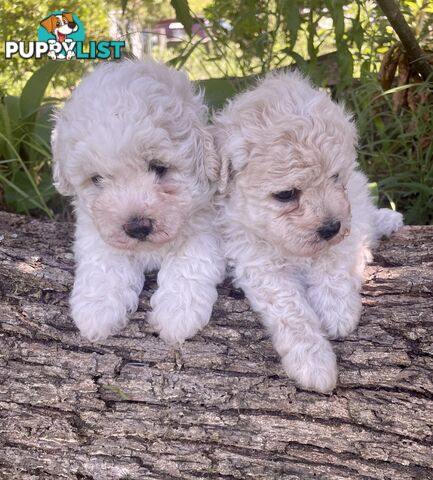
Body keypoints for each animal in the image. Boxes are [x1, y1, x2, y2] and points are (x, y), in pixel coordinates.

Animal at [52, 60, 224, 344]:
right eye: (97, 179)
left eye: (159, 167)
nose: (137, 227)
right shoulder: (95, 225)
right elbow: (105, 260)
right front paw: (96, 310)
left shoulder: (207, 223)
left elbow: (190, 259)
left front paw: (177, 314)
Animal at [213, 71, 402, 394]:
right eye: (286, 194)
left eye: (335, 176)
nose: (330, 227)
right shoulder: (257, 262)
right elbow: (291, 311)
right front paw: (314, 365)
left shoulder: (346, 213)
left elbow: (333, 261)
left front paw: (338, 311)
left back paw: (385, 223)